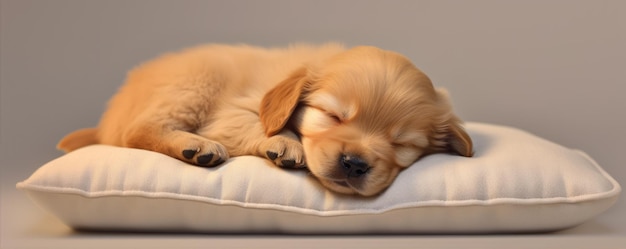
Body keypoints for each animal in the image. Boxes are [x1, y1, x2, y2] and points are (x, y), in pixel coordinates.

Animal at [58, 43, 470, 197]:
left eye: (402, 143)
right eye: (332, 115)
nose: (354, 164)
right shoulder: (233, 111)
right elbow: (258, 124)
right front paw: (285, 142)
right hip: (194, 82)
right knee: (137, 131)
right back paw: (196, 147)